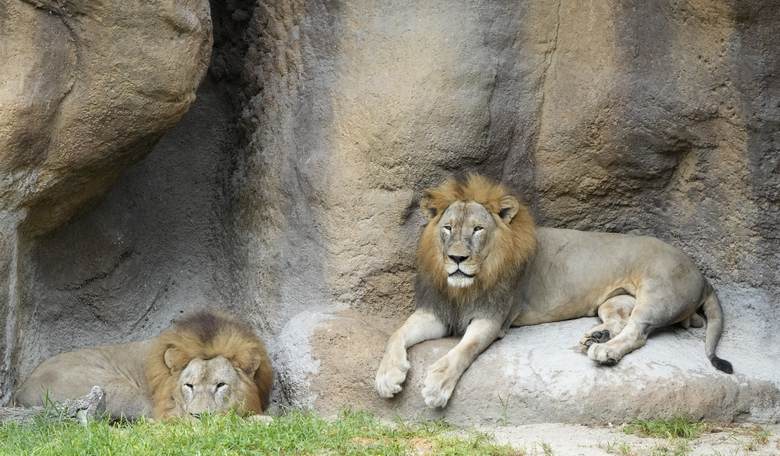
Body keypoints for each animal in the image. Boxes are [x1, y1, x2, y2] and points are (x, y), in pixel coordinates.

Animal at [375, 174, 732, 409]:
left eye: (478, 229)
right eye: (448, 228)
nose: (457, 259)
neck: (466, 287)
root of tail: (702, 275)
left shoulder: (492, 318)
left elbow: (464, 349)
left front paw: (437, 384)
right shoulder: (436, 311)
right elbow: (396, 334)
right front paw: (387, 376)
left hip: (658, 295)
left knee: (638, 332)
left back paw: (605, 350)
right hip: (613, 301)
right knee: (621, 321)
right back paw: (596, 336)